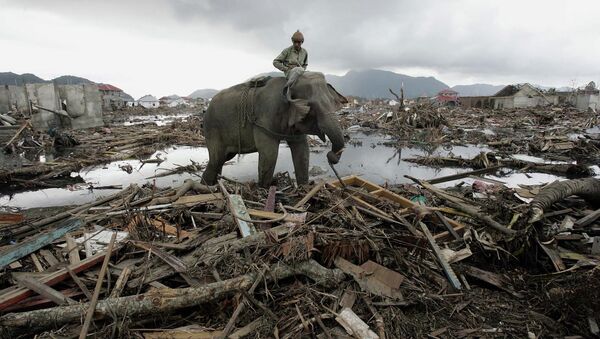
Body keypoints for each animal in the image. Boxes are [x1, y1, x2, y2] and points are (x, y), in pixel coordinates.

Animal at [200, 72, 344, 189]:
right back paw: (207, 187)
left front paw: (304, 189)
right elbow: (269, 153)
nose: (331, 156)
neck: (288, 85)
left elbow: (302, 150)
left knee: (222, 159)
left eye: (333, 102)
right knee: (216, 160)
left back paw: (212, 185)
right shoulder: (265, 116)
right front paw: (264, 190)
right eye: (312, 106)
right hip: (213, 129)